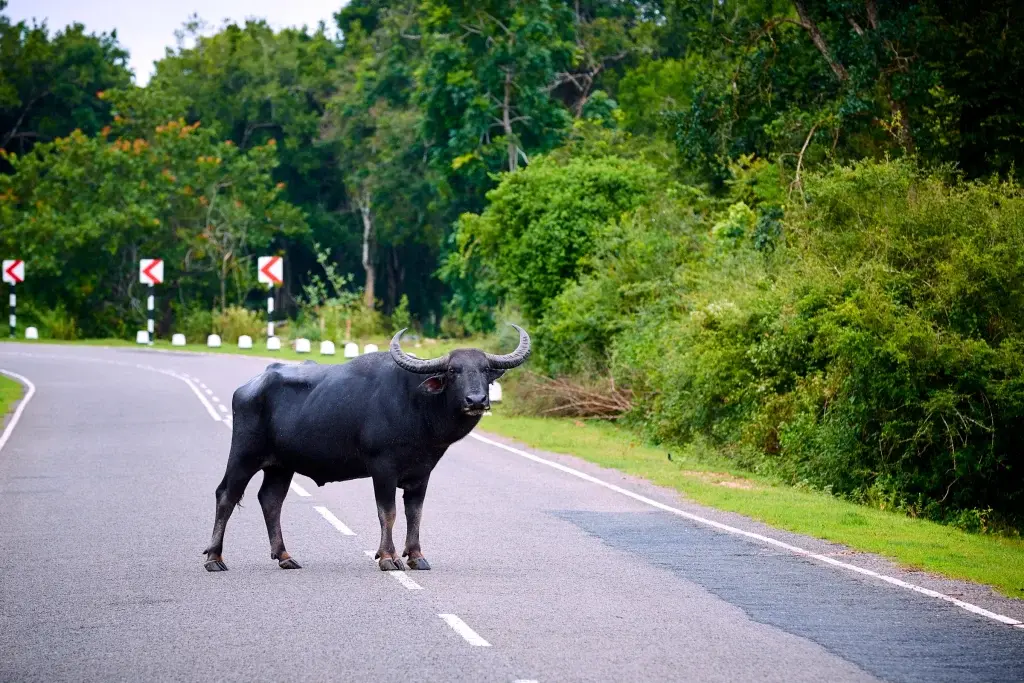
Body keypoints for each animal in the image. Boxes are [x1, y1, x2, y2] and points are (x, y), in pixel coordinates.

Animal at [203, 325, 532, 573]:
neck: (416, 405)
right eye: (453, 371)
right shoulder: (382, 469)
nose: (476, 400)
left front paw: (416, 556)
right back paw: (214, 558)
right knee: (226, 495)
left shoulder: (422, 474)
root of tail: (248, 387)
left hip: (281, 465)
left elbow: (415, 513)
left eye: (485, 369)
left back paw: (285, 557)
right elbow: (388, 512)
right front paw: (388, 557)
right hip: (244, 454)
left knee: (270, 500)